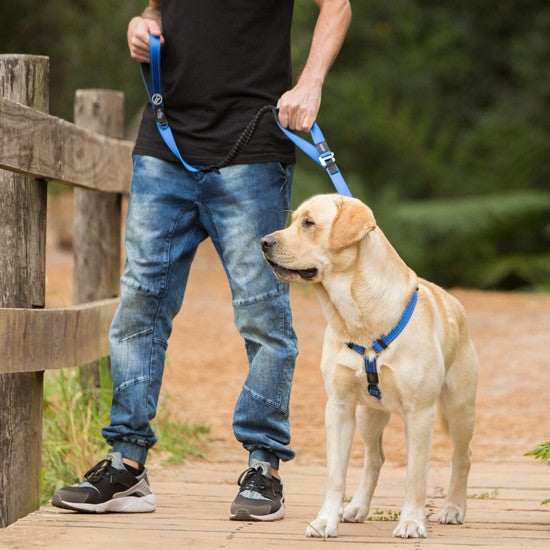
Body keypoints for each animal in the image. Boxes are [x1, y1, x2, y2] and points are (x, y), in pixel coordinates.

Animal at [260, 196, 480, 540]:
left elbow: (415, 476)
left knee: (462, 457)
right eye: (293, 220)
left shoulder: (420, 413)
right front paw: (326, 520)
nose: (263, 242)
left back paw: (454, 508)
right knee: (375, 459)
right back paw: (357, 508)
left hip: (459, 409)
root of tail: (455, 303)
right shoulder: (338, 407)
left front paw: (412, 521)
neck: (358, 317)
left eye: (309, 223)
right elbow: (336, 474)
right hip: (368, 415)